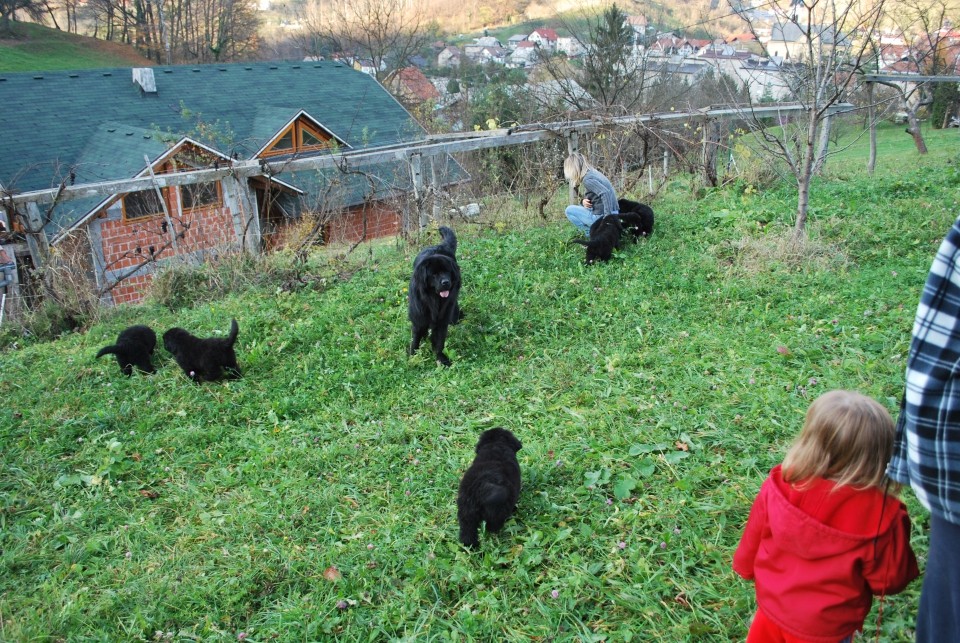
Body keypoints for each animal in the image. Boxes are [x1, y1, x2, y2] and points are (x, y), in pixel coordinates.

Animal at [406, 226, 464, 368]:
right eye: (434, 274)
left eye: (447, 271)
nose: (445, 282)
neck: (433, 300)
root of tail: (440, 246)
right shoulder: (419, 317)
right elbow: (415, 338)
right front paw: (413, 356)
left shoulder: (442, 319)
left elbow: (439, 341)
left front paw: (441, 359)